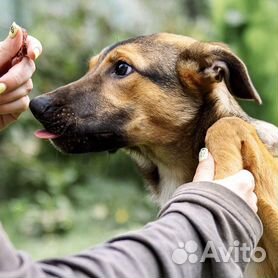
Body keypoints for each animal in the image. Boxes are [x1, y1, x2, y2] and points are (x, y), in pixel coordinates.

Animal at [28, 33, 278, 276]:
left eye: (122, 68)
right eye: (90, 67)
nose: (35, 105)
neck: (169, 169)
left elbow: (226, 123)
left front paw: (222, 179)